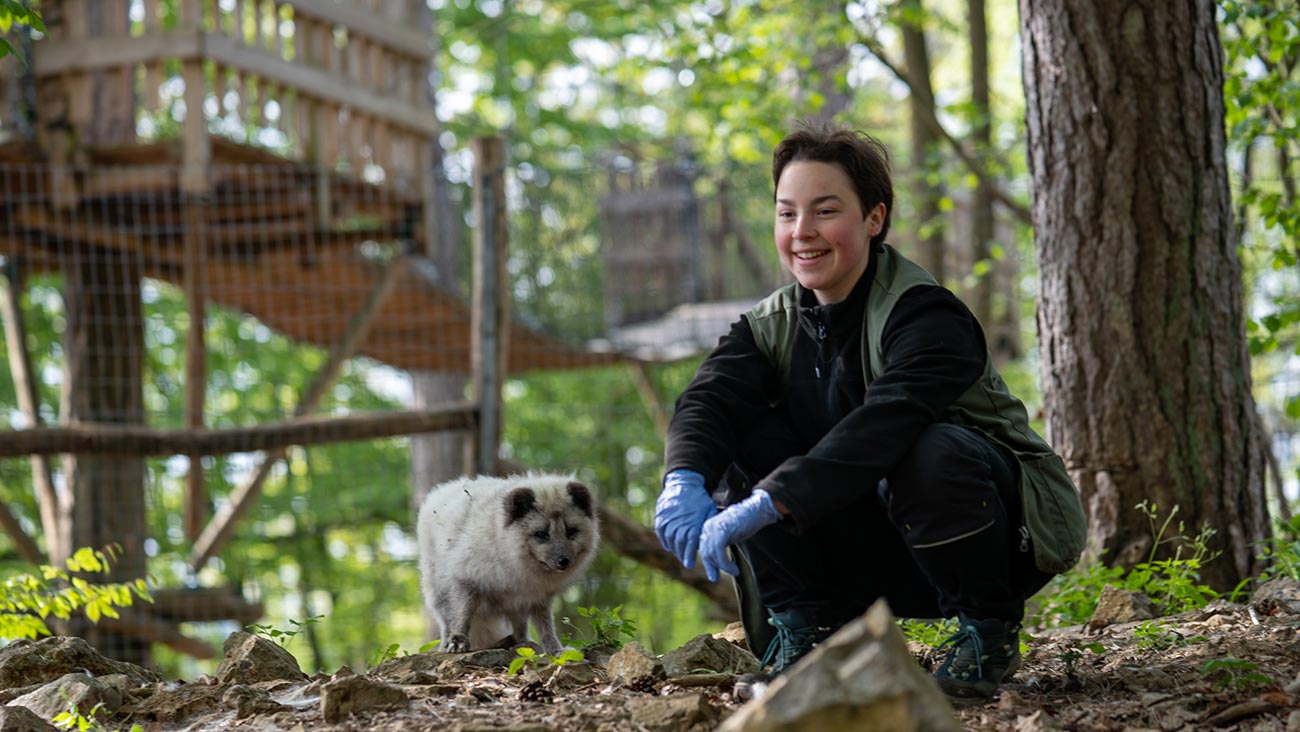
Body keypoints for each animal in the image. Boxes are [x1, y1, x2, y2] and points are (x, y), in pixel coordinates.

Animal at [416, 473, 598, 655]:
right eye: (541, 534)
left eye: (571, 531)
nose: (563, 561)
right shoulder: (466, 578)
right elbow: (463, 614)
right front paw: (458, 640)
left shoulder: (539, 597)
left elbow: (545, 626)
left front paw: (555, 650)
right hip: (437, 593)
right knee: (445, 622)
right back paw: (445, 645)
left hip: (515, 603)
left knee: (520, 628)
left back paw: (520, 642)